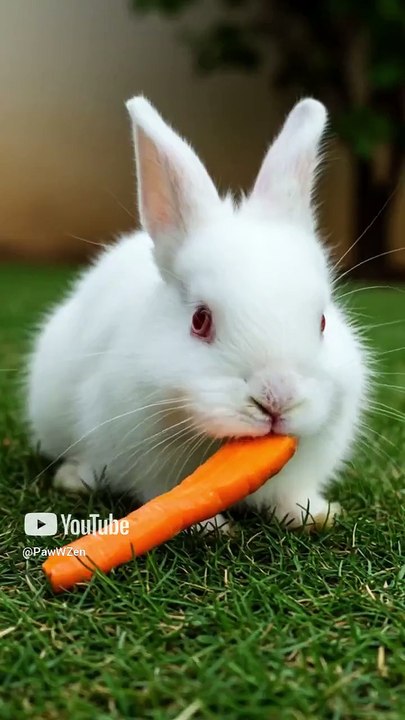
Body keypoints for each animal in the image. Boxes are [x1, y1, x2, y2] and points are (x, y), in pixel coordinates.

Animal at [27, 95, 370, 532]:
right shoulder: (146, 458)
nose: (277, 400)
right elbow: (170, 496)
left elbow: (292, 494)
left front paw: (314, 516)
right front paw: (209, 528)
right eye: (200, 320)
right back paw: (74, 478)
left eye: (322, 322)